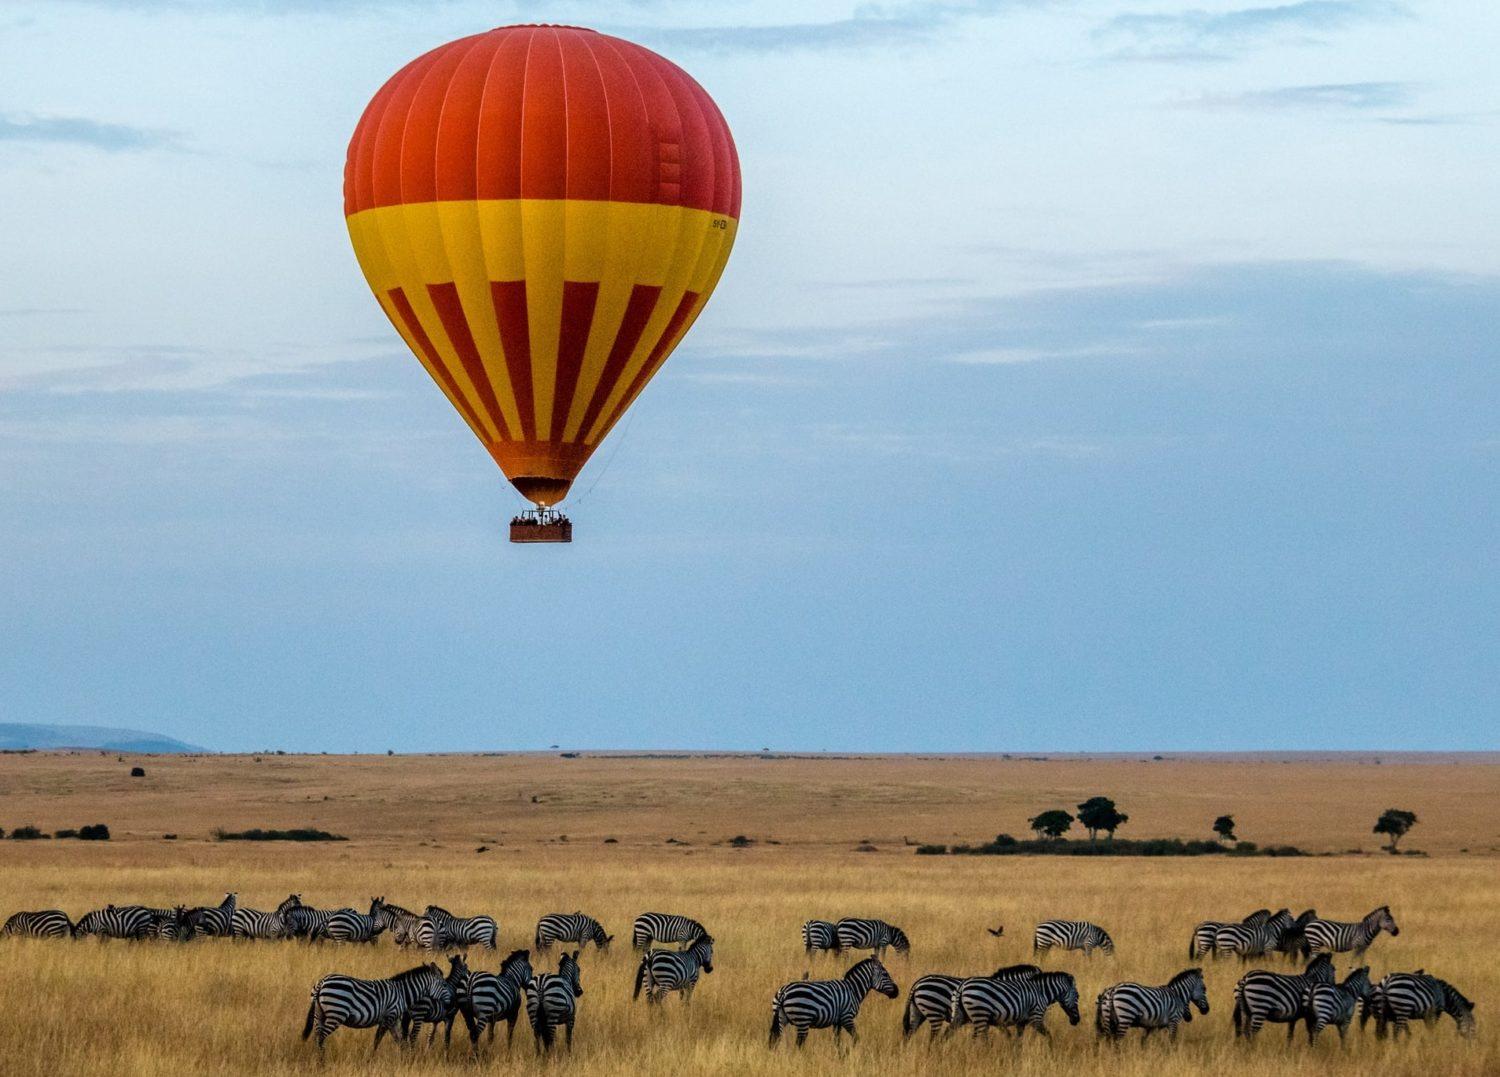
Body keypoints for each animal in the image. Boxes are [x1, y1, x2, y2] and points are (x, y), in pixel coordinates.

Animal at [301, 966, 447, 1050]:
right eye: (444, 984)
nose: (450, 1000)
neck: (402, 992)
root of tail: (322, 982)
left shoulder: (393, 1020)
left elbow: (399, 1041)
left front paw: (404, 1059)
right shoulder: (389, 1016)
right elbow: (378, 1039)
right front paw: (371, 1058)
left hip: (319, 1014)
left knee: (316, 1036)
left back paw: (317, 1059)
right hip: (336, 1013)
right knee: (320, 1037)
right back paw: (321, 1063)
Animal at [948, 972, 1080, 1038]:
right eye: (1078, 996)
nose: (1077, 1020)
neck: (1041, 992)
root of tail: (963, 985)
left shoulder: (1021, 1022)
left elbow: (1018, 1041)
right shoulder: (1036, 1017)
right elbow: (1048, 1035)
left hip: (962, 1016)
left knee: (948, 1033)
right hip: (980, 1014)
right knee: (978, 1038)